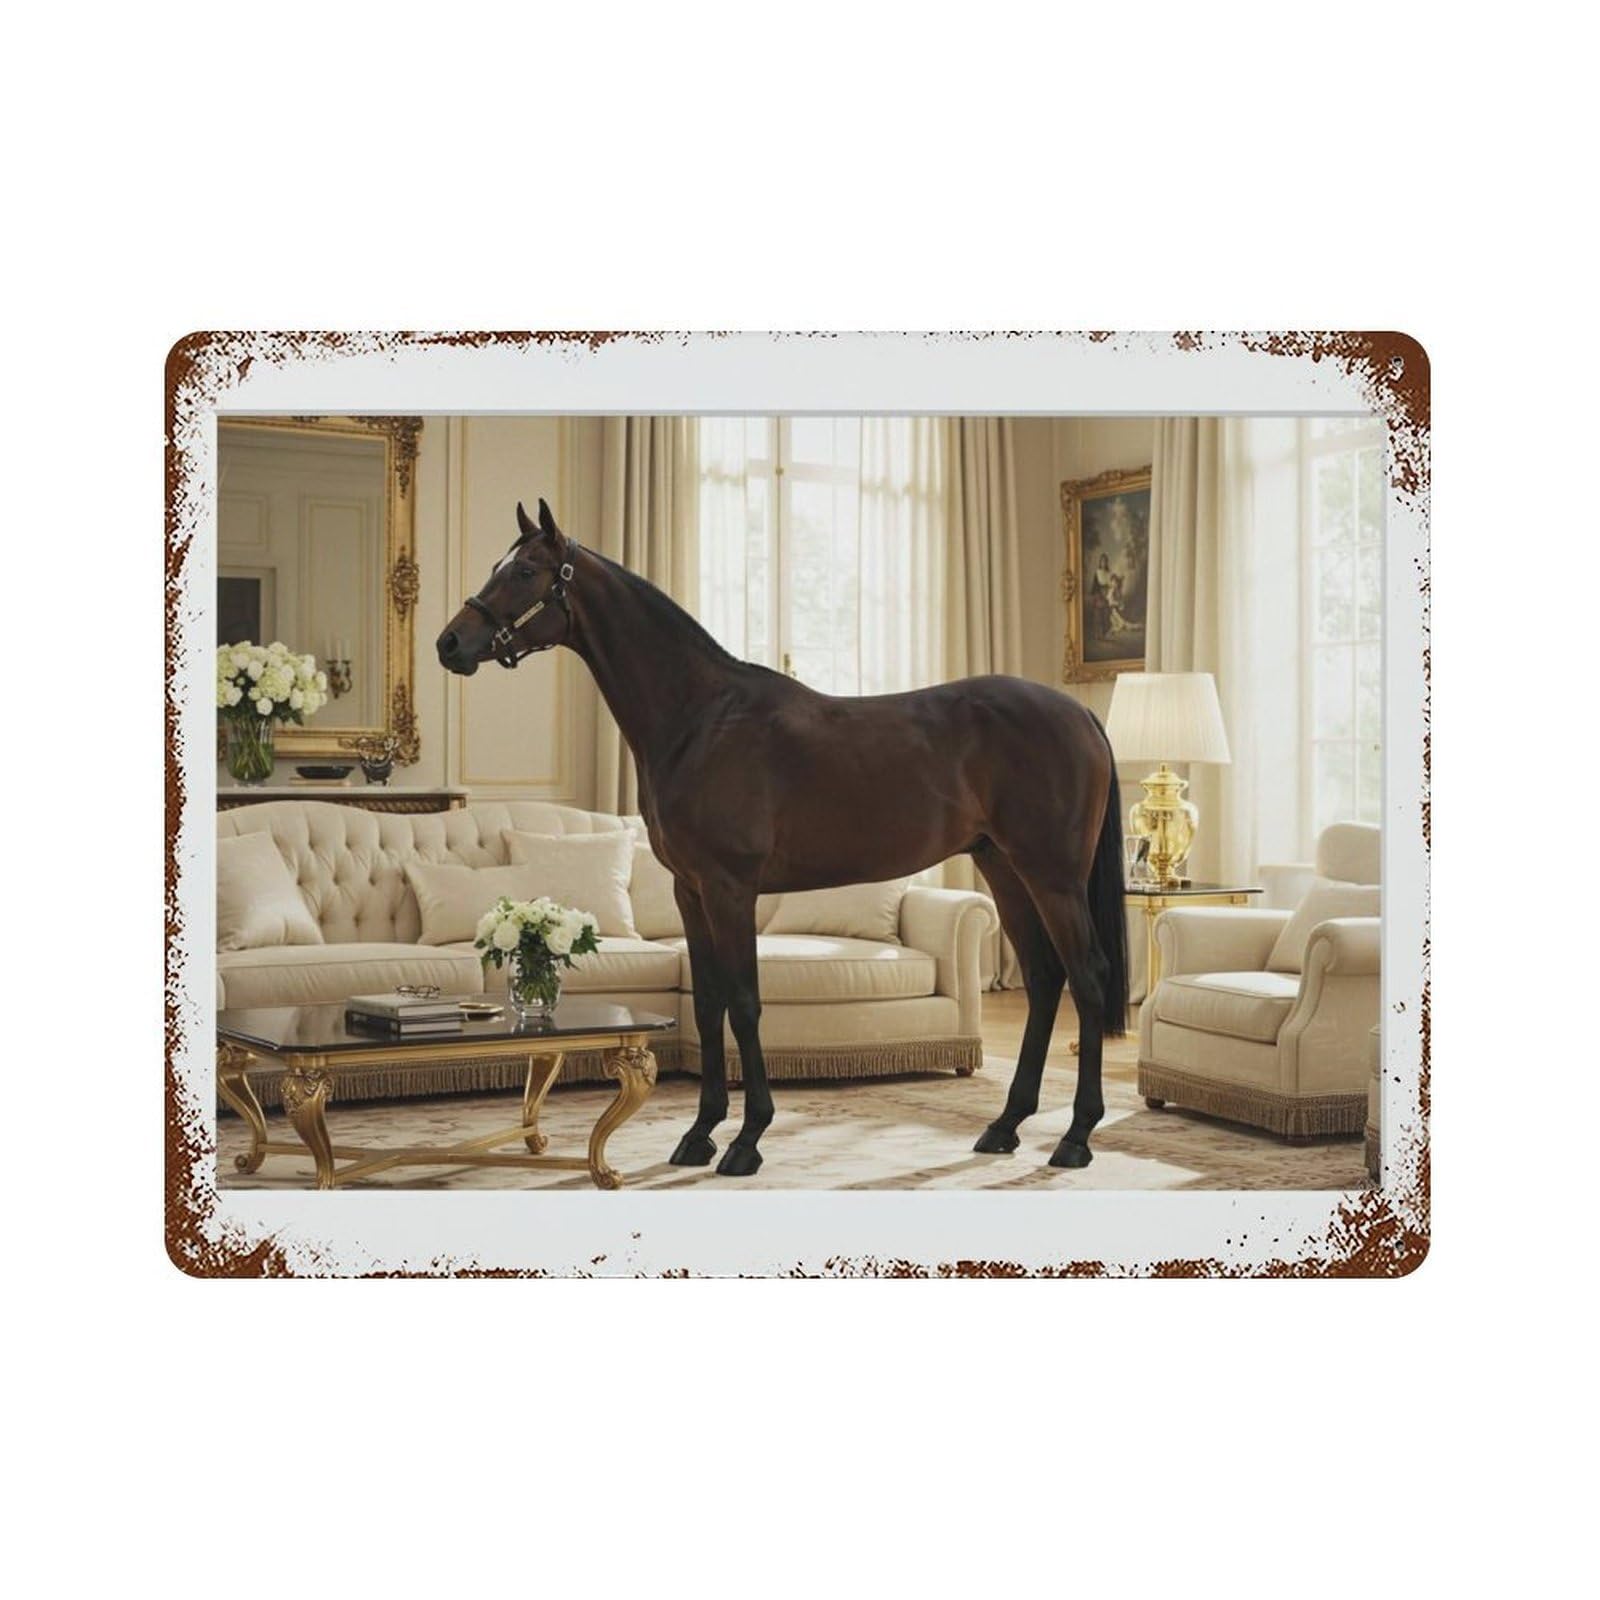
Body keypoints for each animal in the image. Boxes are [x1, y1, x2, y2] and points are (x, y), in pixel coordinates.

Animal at [437, 499, 1129, 1177]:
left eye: (525, 571)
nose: (450, 643)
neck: (698, 720)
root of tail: (1081, 713)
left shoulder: (730, 888)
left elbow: (744, 1001)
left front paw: (747, 1140)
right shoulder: (691, 890)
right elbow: (709, 1003)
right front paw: (699, 1134)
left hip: (1052, 875)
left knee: (1087, 976)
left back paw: (1076, 1136)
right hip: (1004, 867)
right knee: (1044, 977)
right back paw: (1006, 1125)